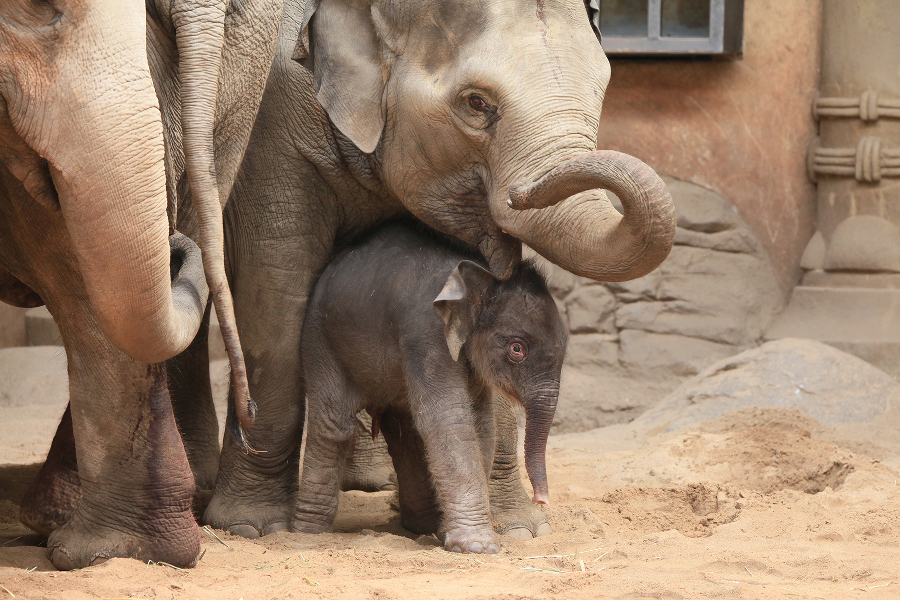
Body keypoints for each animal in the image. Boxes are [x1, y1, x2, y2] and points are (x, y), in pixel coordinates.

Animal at [292, 221, 568, 552]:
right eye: (517, 349)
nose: (543, 501)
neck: (478, 278)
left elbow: (480, 424)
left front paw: (454, 536)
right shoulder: (426, 333)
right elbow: (448, 419)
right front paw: (478, 547)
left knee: (405, 431)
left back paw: (423, 526)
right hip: (319, 338)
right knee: (333, 424)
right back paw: (307, 534)